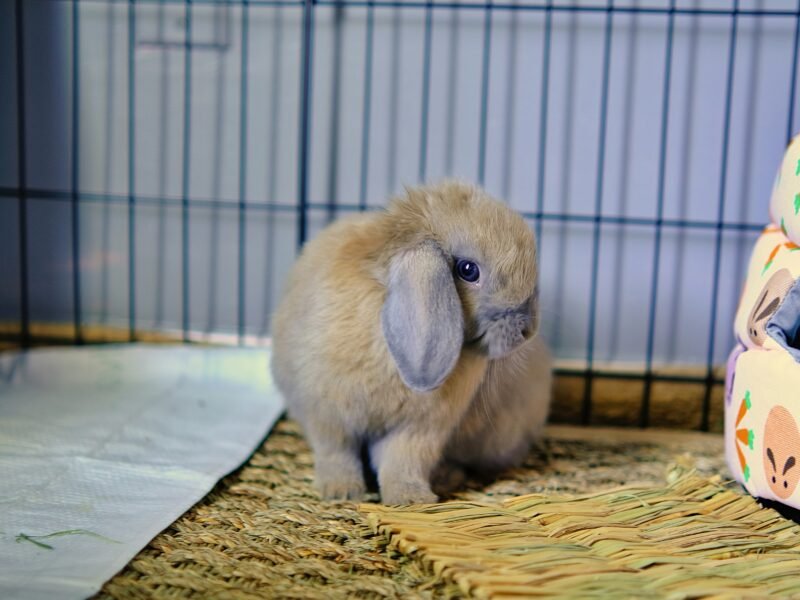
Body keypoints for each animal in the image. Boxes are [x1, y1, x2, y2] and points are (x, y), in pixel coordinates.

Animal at [270, 181, 552, 504]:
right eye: (468, 270)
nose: (527, 330)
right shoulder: (328, 416)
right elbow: (337, 454)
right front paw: (342, 491)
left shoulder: (420, 429)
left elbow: (402, 462)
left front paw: (412, 499)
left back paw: (445, 477)